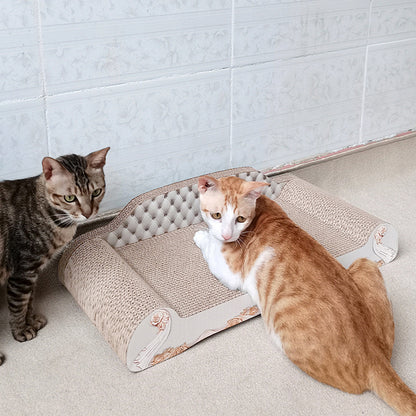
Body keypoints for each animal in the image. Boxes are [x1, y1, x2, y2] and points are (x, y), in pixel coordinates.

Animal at [0, 147, 110, 365]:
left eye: (96, 192)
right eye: (70, 198)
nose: (88, 214)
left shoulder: (32, 273)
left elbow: (29, 301)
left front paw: (32, 320)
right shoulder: (23, 271)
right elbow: (18, 305)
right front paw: (21, 331)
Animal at [194, 175, 416, 416]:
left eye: (240, 219)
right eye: (217, 215)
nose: (227, 234)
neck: (262, 209)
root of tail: (375, 357)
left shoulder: (231, 273)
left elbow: (210, 247)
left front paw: (201, 235)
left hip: (280, 325)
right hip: (365, 264)